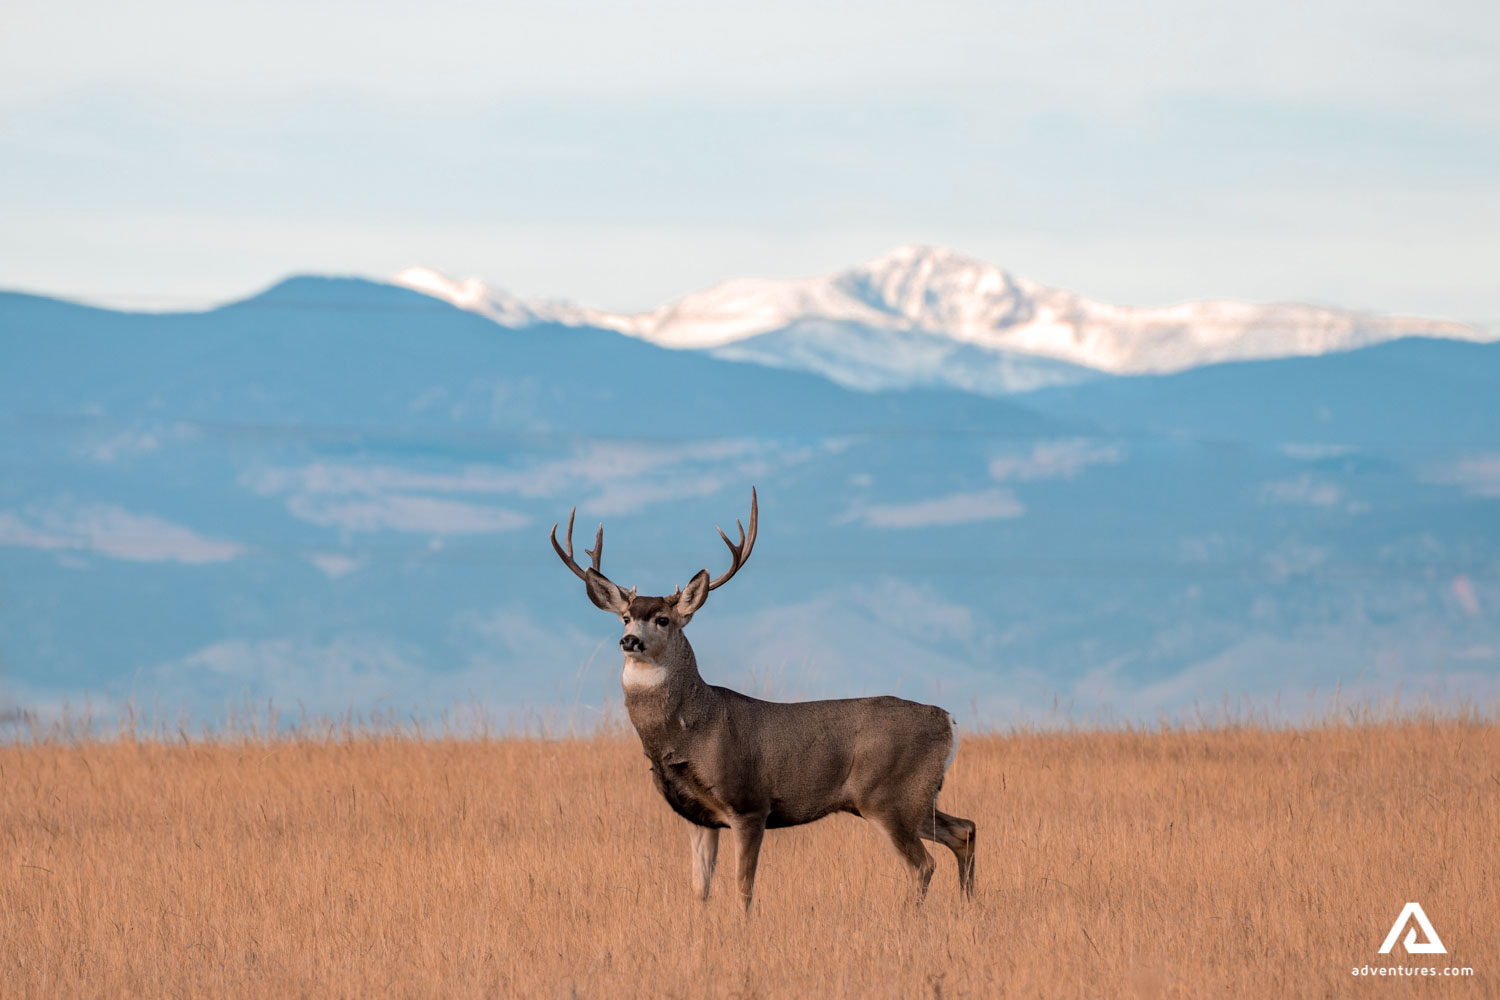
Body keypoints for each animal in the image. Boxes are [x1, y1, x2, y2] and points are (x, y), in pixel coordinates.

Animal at [550, 487, 976, 911]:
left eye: (663, 620)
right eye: (624, 617)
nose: (629, 640)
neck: (693, 730)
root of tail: (948, 721)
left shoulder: (749, 804)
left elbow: (744, 886)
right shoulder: (700, 818)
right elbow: (700, 888)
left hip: (888, 797)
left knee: (923, 863)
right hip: (914, 797)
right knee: (965, 830)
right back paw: (968, 905)